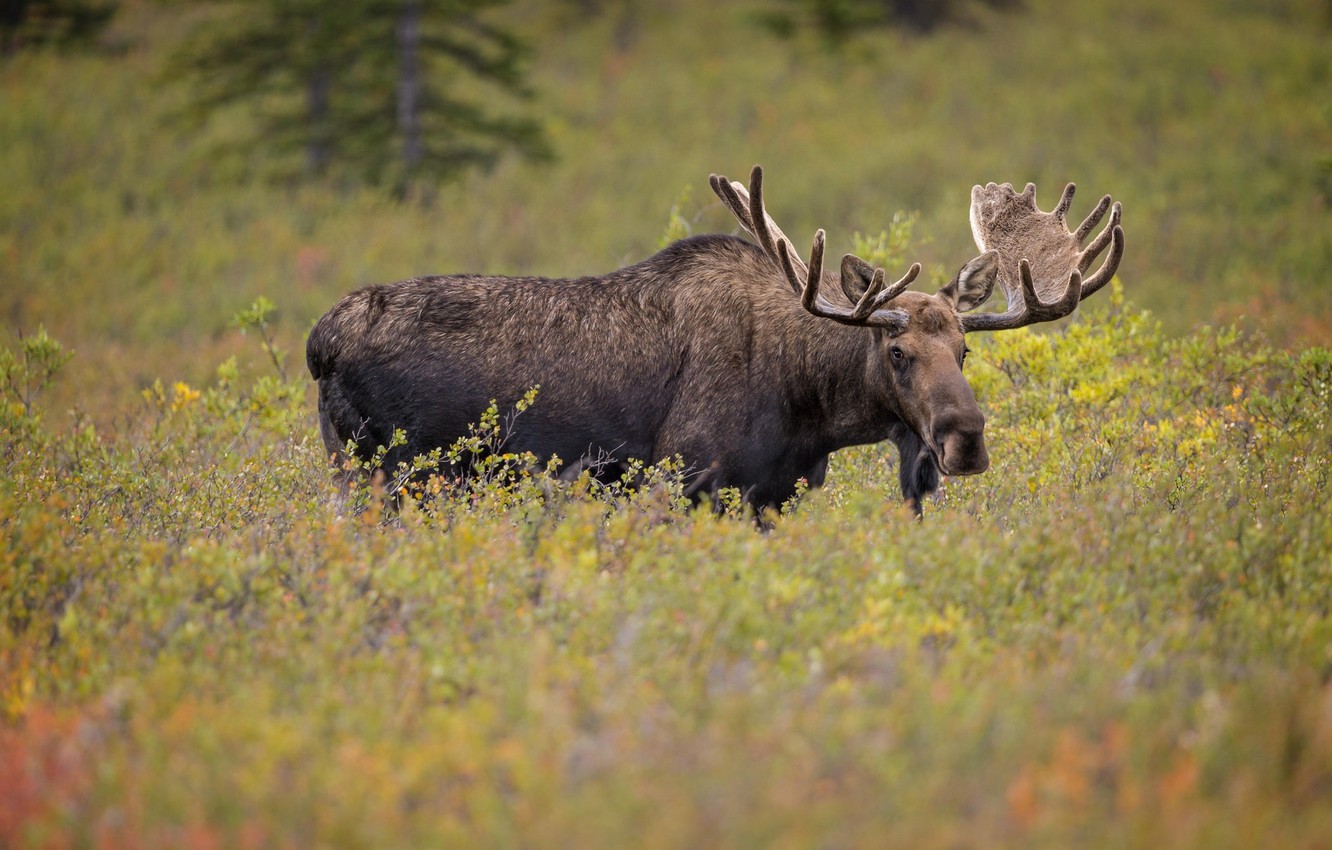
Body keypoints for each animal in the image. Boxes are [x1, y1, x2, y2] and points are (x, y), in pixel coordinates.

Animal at [306, 165, 1123, 514]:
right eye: (897, 353)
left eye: (965, 350)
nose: (966, 439)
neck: (812, 411)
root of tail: (321, 341)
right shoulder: (689, 479)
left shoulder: (773, 495)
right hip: (394, 472)